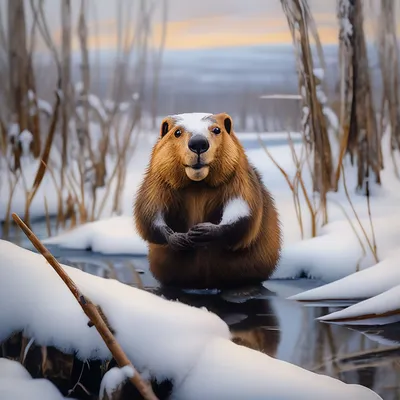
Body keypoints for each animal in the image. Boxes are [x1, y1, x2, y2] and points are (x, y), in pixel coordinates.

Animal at [134, 111, 282, 290]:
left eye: (216, 129)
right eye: (177, 132)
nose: (198, 143)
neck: (198, 186)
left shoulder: (240, 178)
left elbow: (244, 212)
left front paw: (203, 231)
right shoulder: (157, 180)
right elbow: (148, 212)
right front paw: (179, 238)